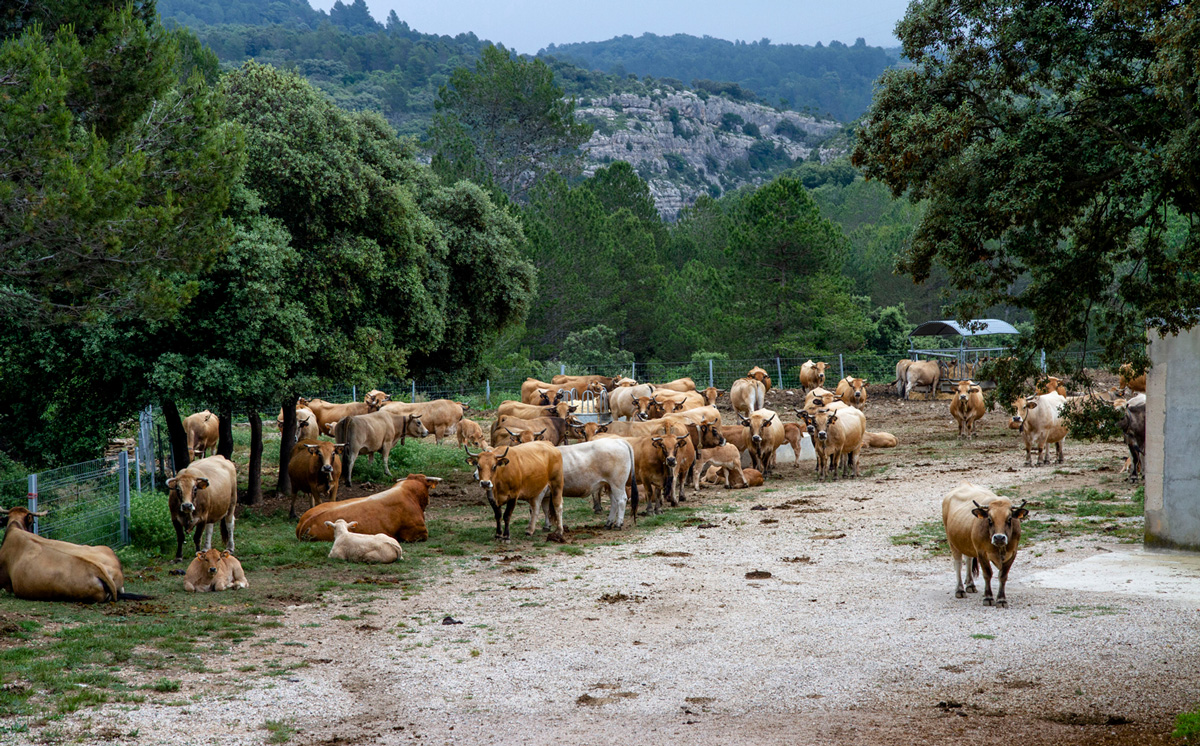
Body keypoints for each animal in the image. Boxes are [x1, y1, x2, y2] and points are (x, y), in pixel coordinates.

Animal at [940, 482, 1027, 611]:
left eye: (1009, 519)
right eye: (989, 519)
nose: (999, 538)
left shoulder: (1013, 553)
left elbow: (1003, 576)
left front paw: (1001, 599)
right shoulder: (982, 553)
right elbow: (987, 574)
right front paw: (988, 598)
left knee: (968, 559)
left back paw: (970, 584)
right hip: (952, 543)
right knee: (958, 564)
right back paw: (960, 590)